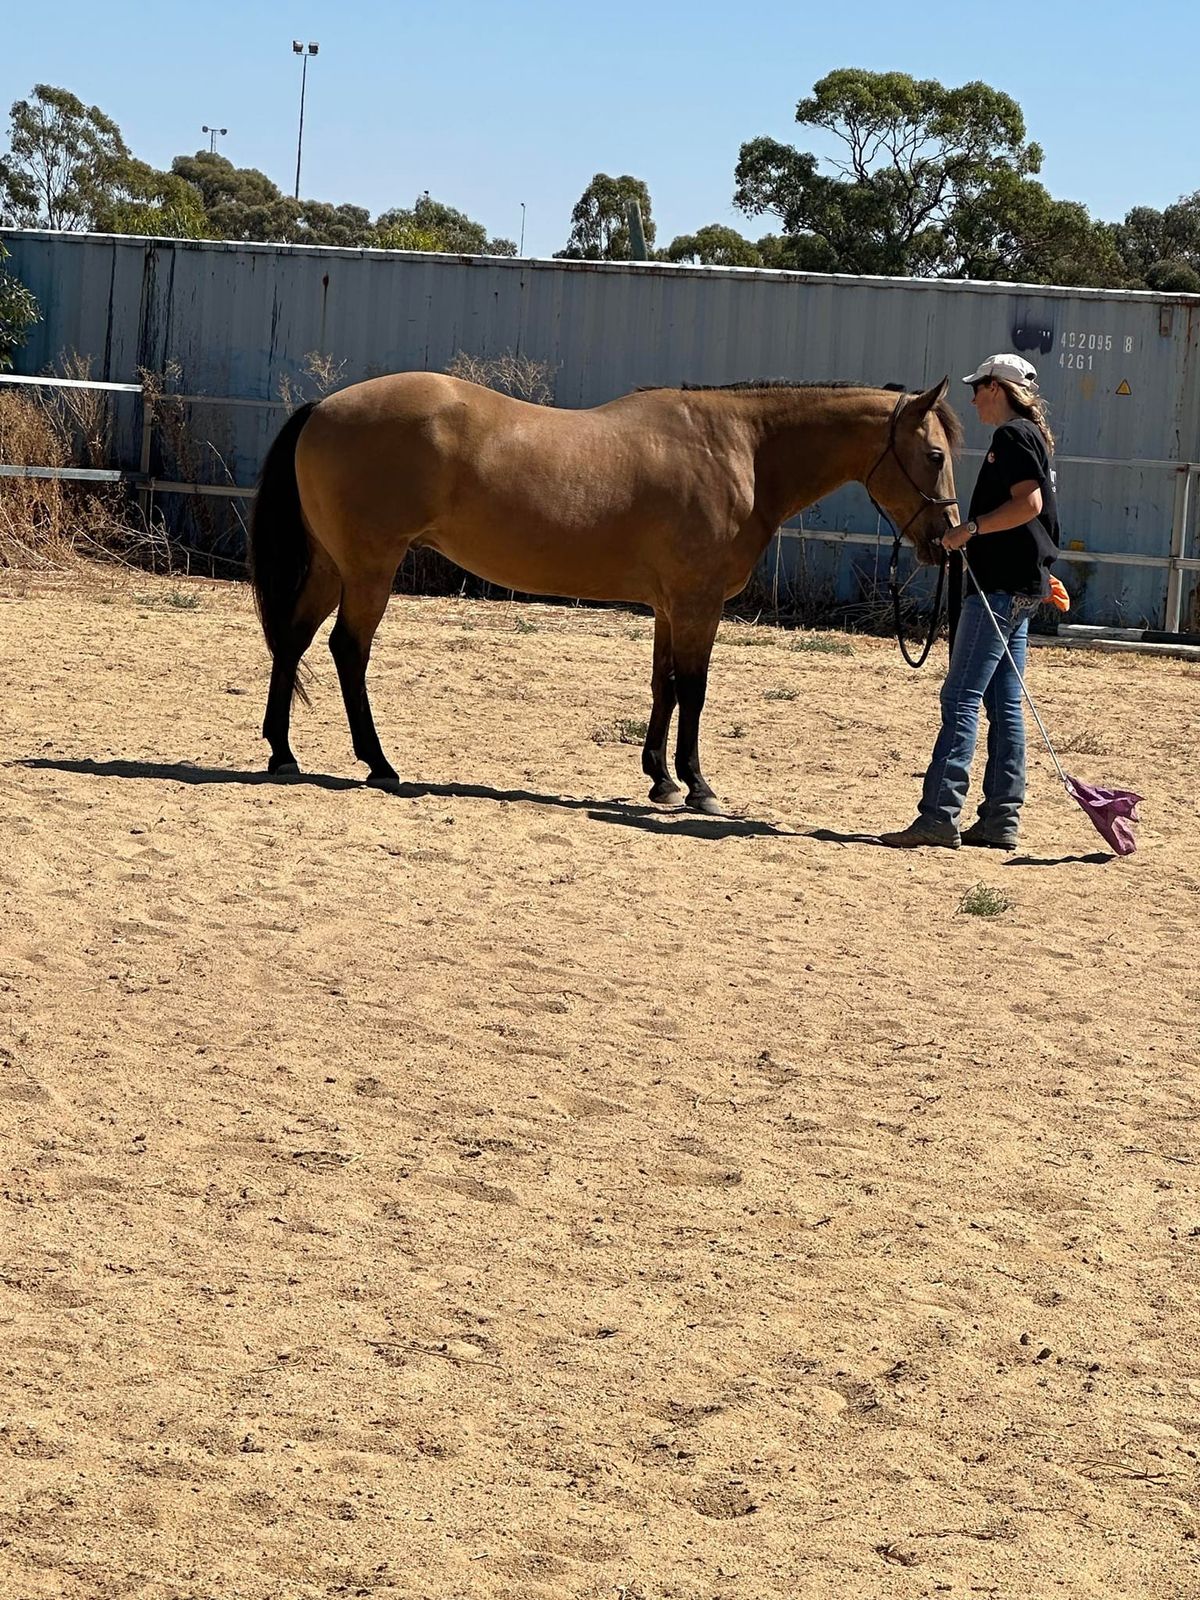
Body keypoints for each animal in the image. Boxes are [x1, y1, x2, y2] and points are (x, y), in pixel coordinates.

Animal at [249, 374, 966, 812]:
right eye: (934, 455)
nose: (948, 540)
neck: (740, 450)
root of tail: (322, 408)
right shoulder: (699, 603)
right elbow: (694, 691)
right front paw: (698, 785)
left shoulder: (671, 605)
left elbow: (663, 688)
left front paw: (661, 779)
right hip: (370, 567)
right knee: (347, 650)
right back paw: (378, 763)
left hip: (331, 566)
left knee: (293, 640)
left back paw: (283, 753)